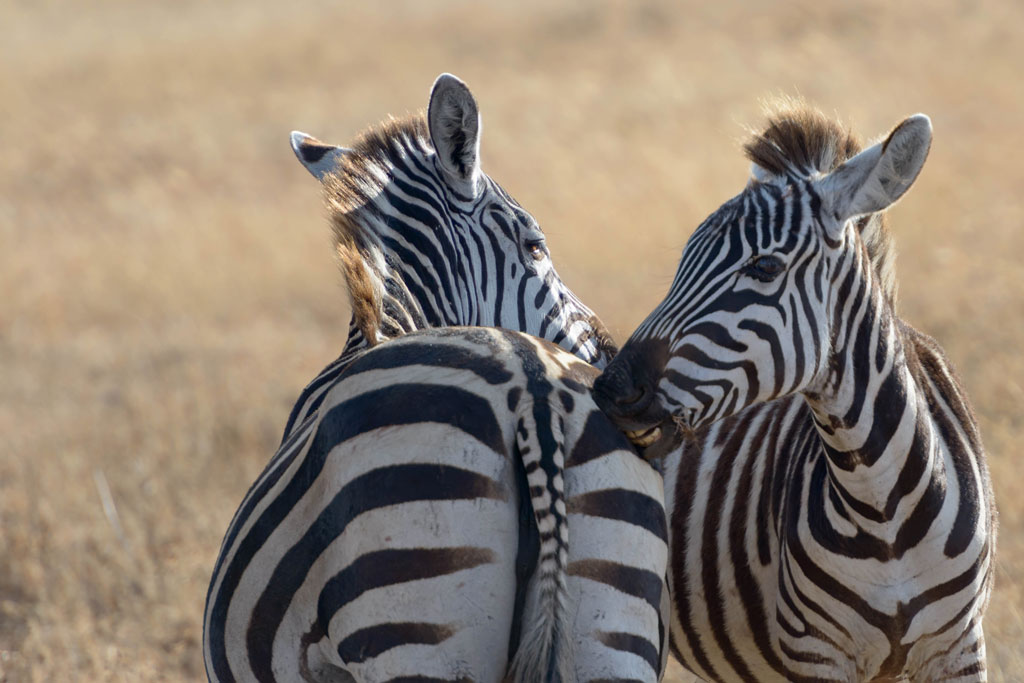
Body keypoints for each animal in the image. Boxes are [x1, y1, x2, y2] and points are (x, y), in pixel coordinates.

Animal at [594, 103, 995, 681]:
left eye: (764, 267)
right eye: (682, 262)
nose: (609, 387)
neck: (883, 508)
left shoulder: (961, 647)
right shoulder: (815, 653)